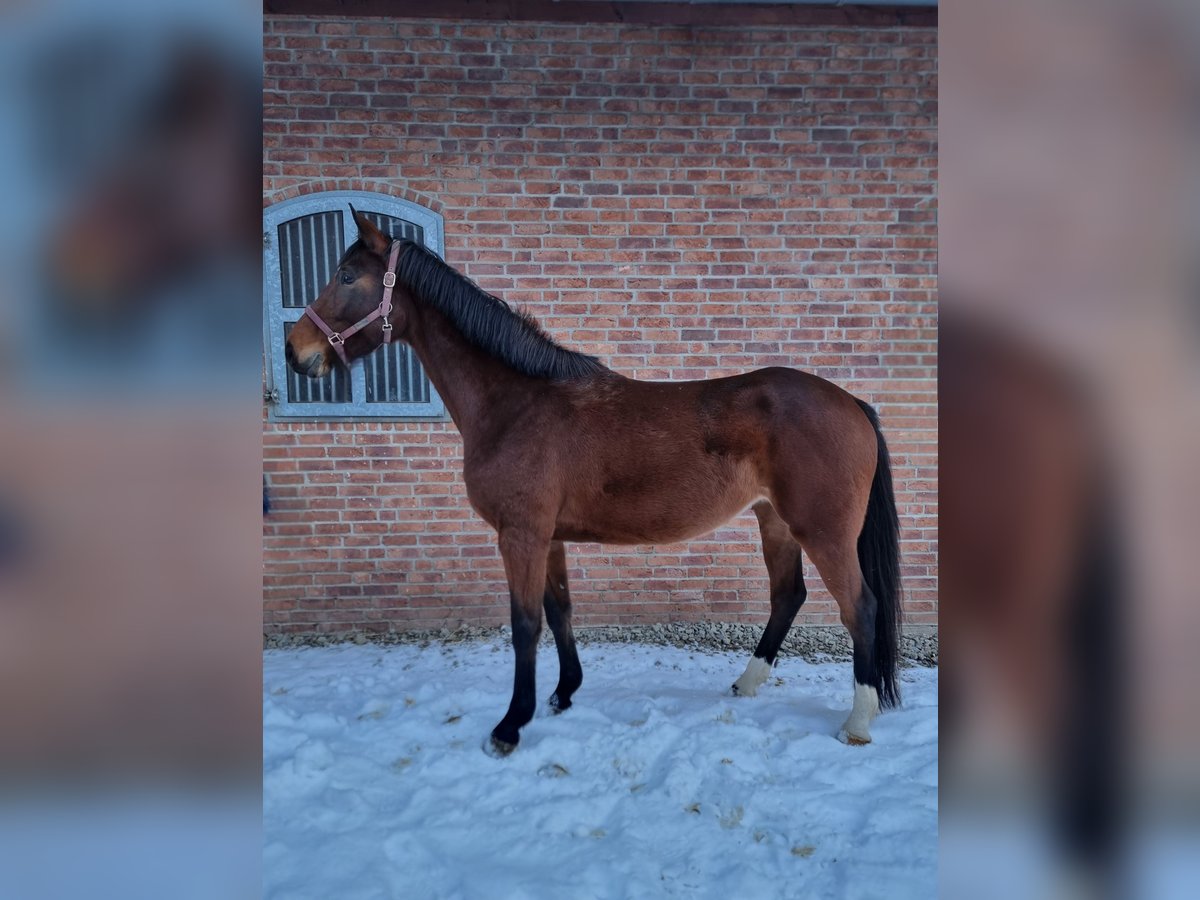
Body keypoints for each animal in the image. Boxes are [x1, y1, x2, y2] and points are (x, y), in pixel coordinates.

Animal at [285, 208, 903, 757]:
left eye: (346, 276)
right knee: (787, 596)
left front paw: (510, 727)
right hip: (773, 520)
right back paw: (746, 683)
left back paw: (857, 721)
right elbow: (560, 610)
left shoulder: (521, 536)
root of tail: (851, 403)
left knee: (860, 607)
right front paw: (563, 694)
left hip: (822, 532)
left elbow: (525, 624)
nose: (296, 353)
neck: (517, 404)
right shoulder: (548, 537)